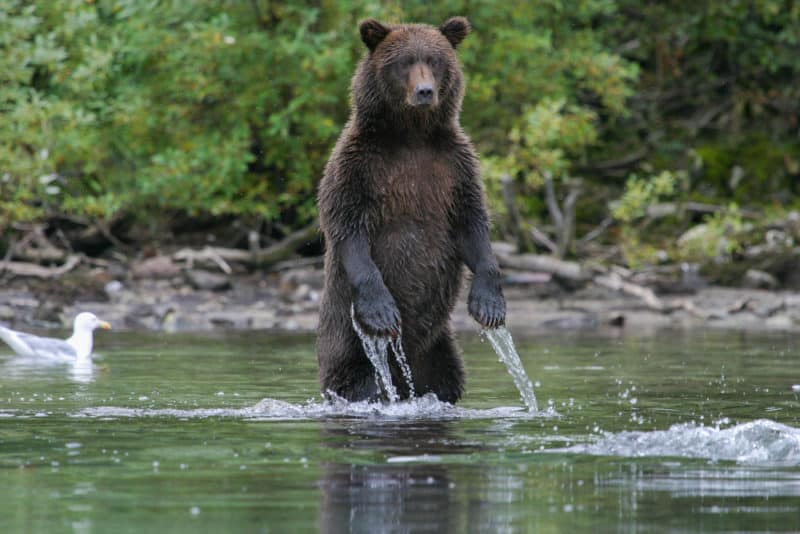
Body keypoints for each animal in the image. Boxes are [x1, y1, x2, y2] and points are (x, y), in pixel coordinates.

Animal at [316, 16, 504, 404]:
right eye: (404, 63)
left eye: (434, 60)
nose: (425, 92)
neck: (411, 136)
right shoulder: (357, 167)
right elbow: (347, 226)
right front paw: (382, 312)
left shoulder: (455, 166)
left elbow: (472, 222)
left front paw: (489, 304)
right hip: (349, 346)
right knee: (359, 383)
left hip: (439, 349)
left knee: (447, 380)